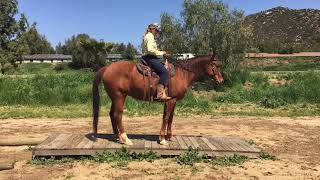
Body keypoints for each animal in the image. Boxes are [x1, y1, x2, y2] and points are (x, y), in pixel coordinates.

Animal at [91, 53, 224, 146]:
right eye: (215, 65)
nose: (221, 80)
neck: (182, 73)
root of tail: (107, 67)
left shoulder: (171, 101)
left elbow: (170, 118)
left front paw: (169, 136)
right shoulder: (171, 101)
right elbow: (166, 118)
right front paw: (162, 139)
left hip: (115, 98)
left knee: (111, 114)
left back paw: (118, 136)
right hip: (119, 97)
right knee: (117, 115)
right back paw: (126, 139)